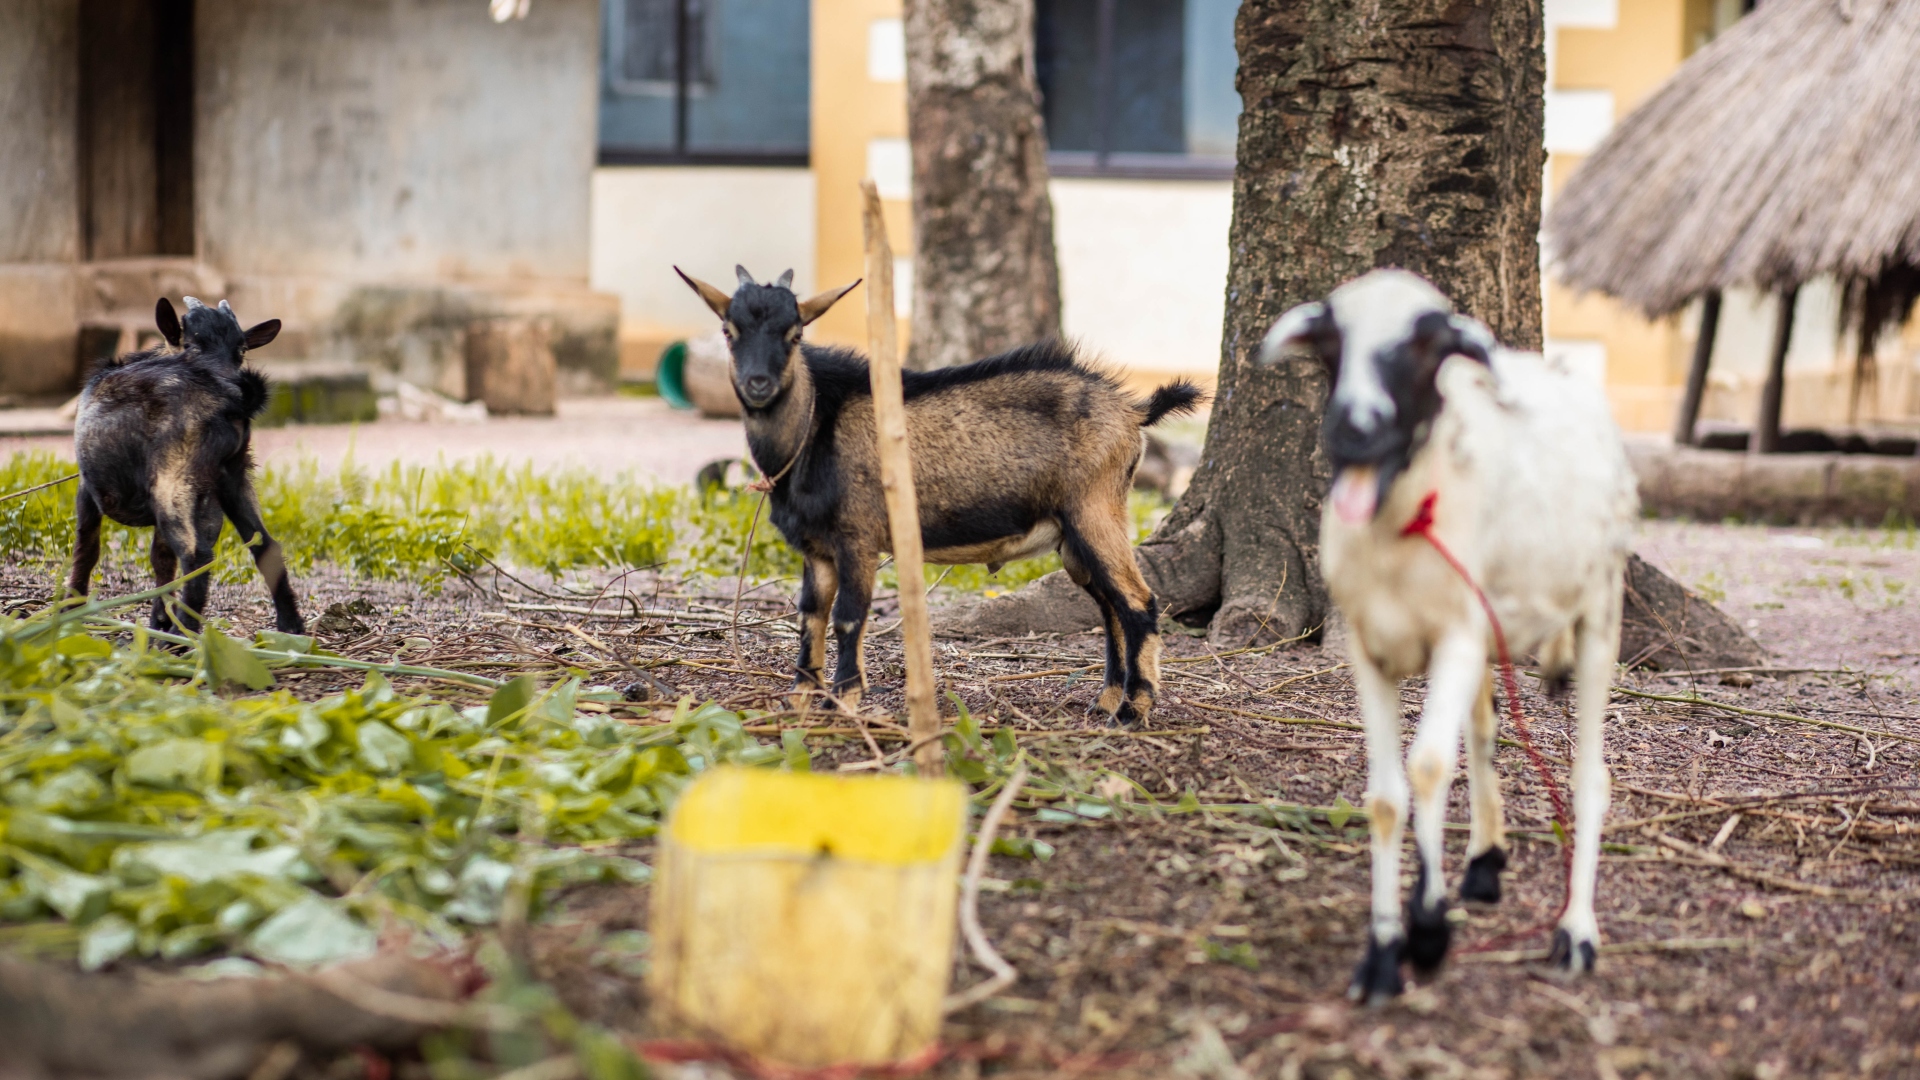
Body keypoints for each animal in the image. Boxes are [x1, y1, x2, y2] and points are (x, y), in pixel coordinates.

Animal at [68, 297, 305, 636]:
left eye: (242, 349)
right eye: (192, 344)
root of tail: (229, 401)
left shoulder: (87, 488)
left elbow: (86, 545)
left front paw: (71, 608)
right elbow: (161, 557)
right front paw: (159, 618)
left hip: (173, 479)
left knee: (197, 556)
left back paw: (179, 637)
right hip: (233, 477)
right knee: (265, 544)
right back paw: (290, 625)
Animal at [676, 265, 1202, 724]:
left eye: (795, 333)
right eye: (729, 330)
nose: (758, 385)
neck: (815, 429)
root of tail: (1133, 411)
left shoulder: (859, 537)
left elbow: (848, 617)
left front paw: (842, 703)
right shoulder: (816, 549)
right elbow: (811, 617)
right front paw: (799, 701)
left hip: (1095, 510)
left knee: (1139, 602)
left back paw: (1133, 711)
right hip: (1072, 539)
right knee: (1111, 606)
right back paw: (1107, 700)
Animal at [1258, 270, 1637, 1003]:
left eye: (1425, 344)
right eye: (1332, 342)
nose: (1354, 429)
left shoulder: (1457, 638)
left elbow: (1429, 768)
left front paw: (1428, 931)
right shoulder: (1369, 648)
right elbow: (1385, 796)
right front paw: (1381, 957)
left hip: (1599, 606)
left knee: (1589, 774)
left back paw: (1576, 932)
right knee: (1485, 731)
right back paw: (1485, 862)